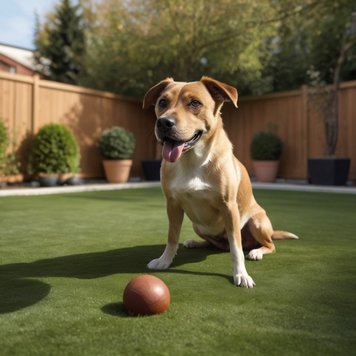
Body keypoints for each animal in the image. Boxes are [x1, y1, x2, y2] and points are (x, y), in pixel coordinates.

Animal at [142, 77, 298, 286]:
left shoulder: (229, 207)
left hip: (257, 223)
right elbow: (172, 237)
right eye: (162, 102)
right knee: (217, 245)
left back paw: (257, 251)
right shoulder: (172, 205)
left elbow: (236, 248)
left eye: (194, 103)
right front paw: (165, 260)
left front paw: (241, 274)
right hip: (198, 225)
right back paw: (196, 243)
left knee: (267, 245)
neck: (193, 161)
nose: (164, 123)